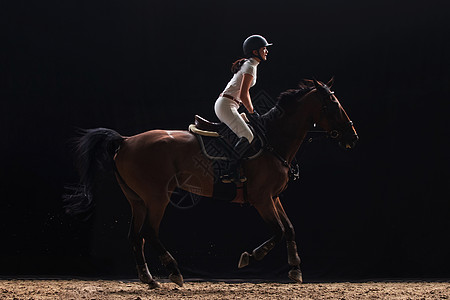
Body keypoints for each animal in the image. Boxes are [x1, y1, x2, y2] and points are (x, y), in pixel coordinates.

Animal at [65, 79, 358, 288]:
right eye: (334, 106)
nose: (353, 137)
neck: (273, 140)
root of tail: (125, 141)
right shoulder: (262, 199)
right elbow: (277, 231)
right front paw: (250, 257)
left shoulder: (274, 197)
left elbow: (289, 229)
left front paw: (295, 269)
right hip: (157, 197)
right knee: (149, 231)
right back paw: (174, 272)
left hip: (137, 200)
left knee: (136, 236)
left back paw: (149, 279)